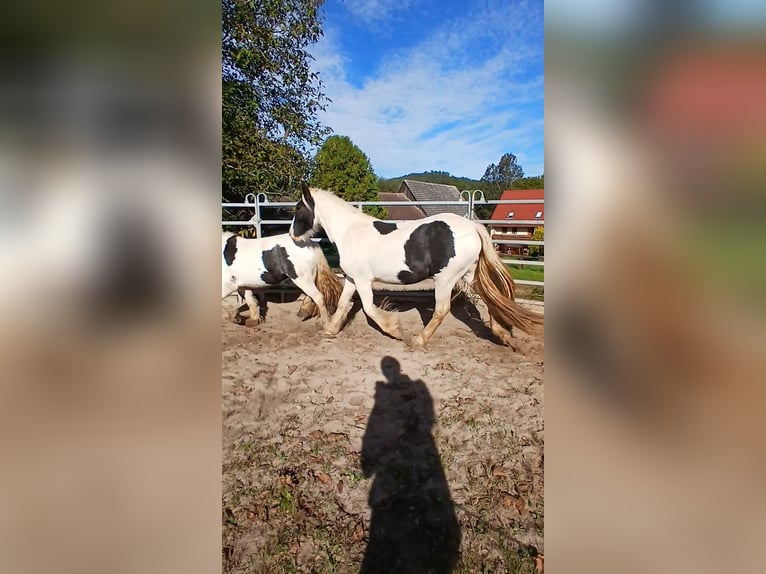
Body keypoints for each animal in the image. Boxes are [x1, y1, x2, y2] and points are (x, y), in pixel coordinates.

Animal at [290, 186, 544, 346]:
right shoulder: (353, 278)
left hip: (445, 278)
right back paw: (502, 335)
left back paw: (419, 340)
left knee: (442, 310)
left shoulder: (363, 280)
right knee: (490, 299)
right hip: (468, 275)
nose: (293, 235)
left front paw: (395, 330)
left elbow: (370, 309)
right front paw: (330, 329)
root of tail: (473, 227)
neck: (351, 232)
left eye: (298, 208)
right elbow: (344, 304)